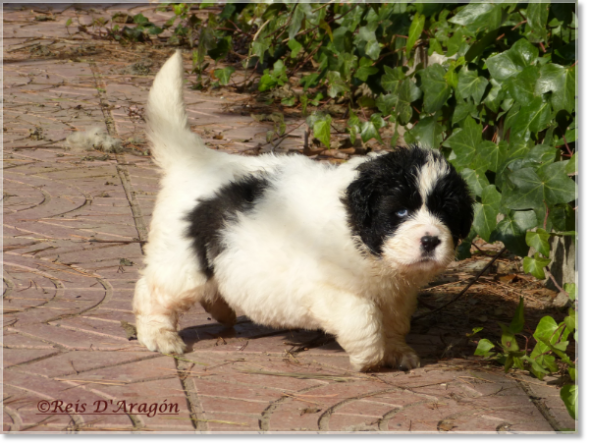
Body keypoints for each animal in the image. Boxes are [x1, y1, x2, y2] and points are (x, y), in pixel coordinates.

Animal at [132, 51, 474, 372]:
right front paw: (370, 358)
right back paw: (160, 335)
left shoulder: (396, 296)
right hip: (182, 260)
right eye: (401, 212)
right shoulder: (329, 289)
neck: (354, 227)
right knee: (152, 292)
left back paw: (222, 310)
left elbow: (393, 323)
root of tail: (195, 159)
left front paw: (398, 352)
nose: (430, 240)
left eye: (446, 214)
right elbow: (363, 319)